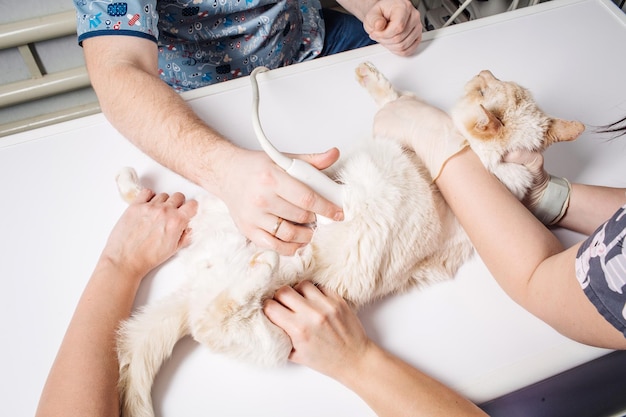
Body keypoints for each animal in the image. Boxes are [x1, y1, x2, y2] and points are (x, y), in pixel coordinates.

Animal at [114, 62, 584, 416]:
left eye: (485, 85)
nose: (482, 69)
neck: (489, 161)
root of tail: (199, 283)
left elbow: (395, 101)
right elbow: (392, 95)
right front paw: (369, 75)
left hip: (270, 336)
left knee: (214, 320)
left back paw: (263, 266)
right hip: (223, 211)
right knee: (187, 225)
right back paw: (137, 189)